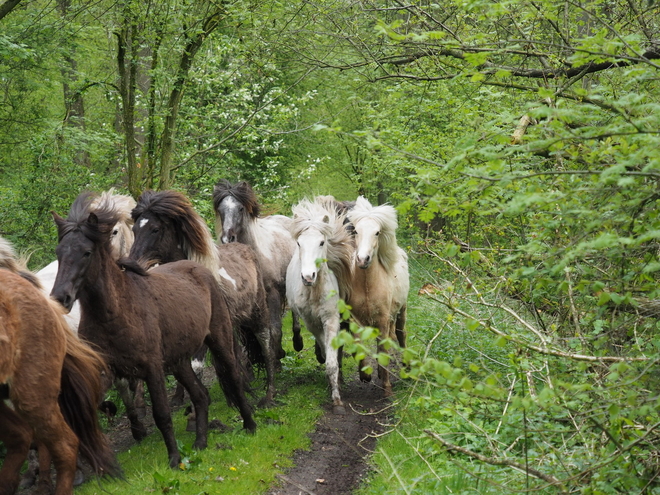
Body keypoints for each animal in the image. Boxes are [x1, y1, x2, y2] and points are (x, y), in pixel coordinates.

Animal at [50, 193, 256, 468]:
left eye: (86, 252)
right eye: (59, 252)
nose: (60, 297)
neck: (116, 312)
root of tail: (198, 268)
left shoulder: (152, 368)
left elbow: (162, 414)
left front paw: (174, 459)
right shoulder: (103, 371)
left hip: (218, 340)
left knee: (232, 375)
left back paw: (250, 425)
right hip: (178, 361)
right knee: (200, 395)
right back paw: (200, 442)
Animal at [130, 190, 278, 406]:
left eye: (155, 229)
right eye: (134, 229)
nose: (131, 262)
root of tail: (244, 248)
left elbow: (196, 366)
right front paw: (178, 399)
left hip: (257, 313)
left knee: (266, 344)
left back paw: (269, 394)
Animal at [286, 198, 354, 414]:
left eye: (322, 242)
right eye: (299, 243)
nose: (308, 277)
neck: (314, 292)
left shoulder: (331, 319)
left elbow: (332, 361)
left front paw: (337, 401)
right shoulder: (312, 324)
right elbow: (326, 350)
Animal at [348, 196, 410, 398]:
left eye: (376, 233)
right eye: (356, 231)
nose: (362, 259)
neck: (368, 287)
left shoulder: (382, 320)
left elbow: (383, 351)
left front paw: (387, 389)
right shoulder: (355, 320)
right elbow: (358, 345)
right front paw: (365, 374)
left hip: (402, 310)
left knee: (400, 333)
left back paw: (406, 365)